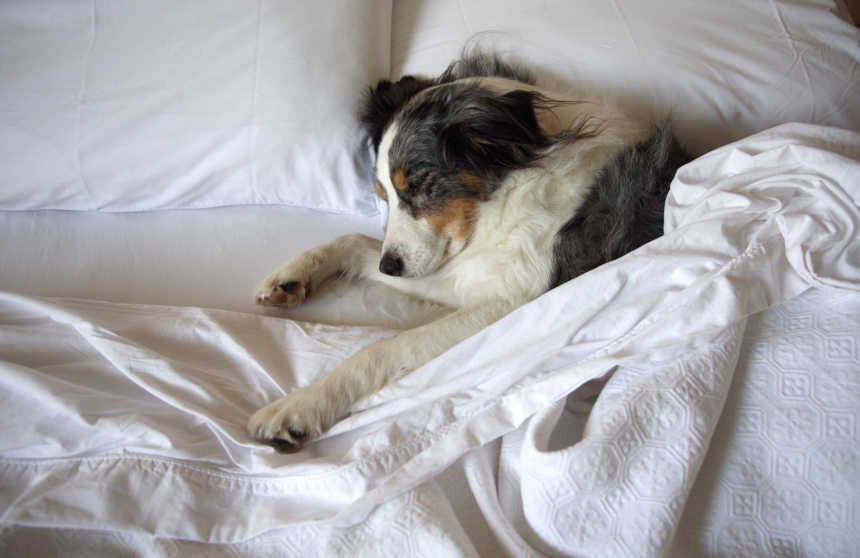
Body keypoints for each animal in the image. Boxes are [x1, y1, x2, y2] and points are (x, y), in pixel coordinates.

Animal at [248, 52, 691, 452]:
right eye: (383, 195)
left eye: (420, 183)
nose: (390, 268)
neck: (507, 187)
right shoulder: (457, 270)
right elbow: (355, 242)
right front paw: (290, 276)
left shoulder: (513, 303)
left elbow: (386, 348)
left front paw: (299, 407)